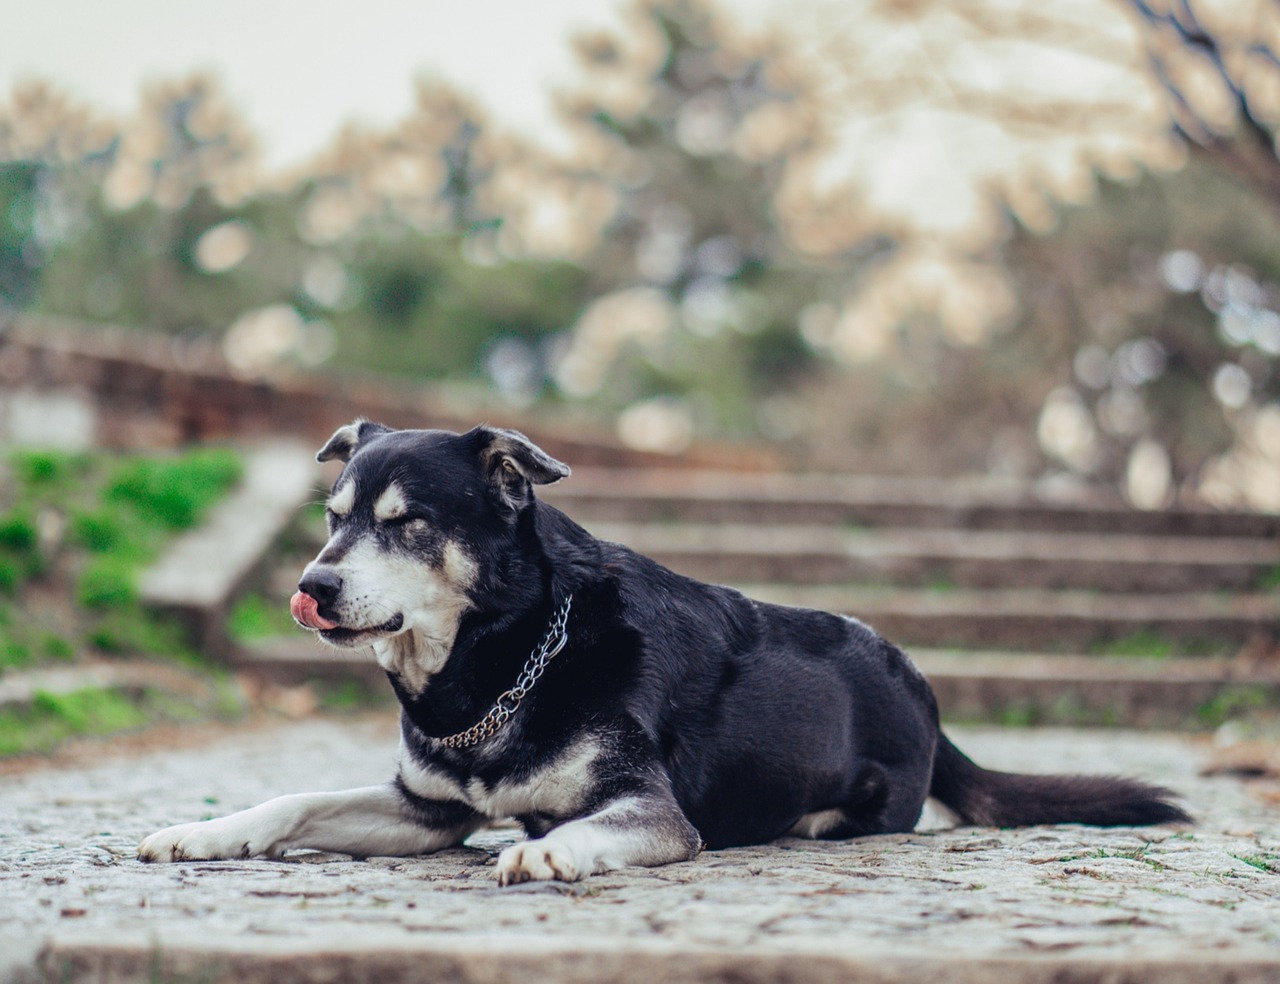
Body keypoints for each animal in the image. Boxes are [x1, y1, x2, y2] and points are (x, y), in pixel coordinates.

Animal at [140, 422, 1187, 880]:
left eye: (407, 524)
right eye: (333, 520)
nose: (311, 587)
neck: (503, 664)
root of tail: (924, 688)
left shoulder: (653, 811)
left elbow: (592, 827)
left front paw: (548, 850)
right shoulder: (428, 811)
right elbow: (299, 800)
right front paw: (205, 831)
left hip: (870, 800)